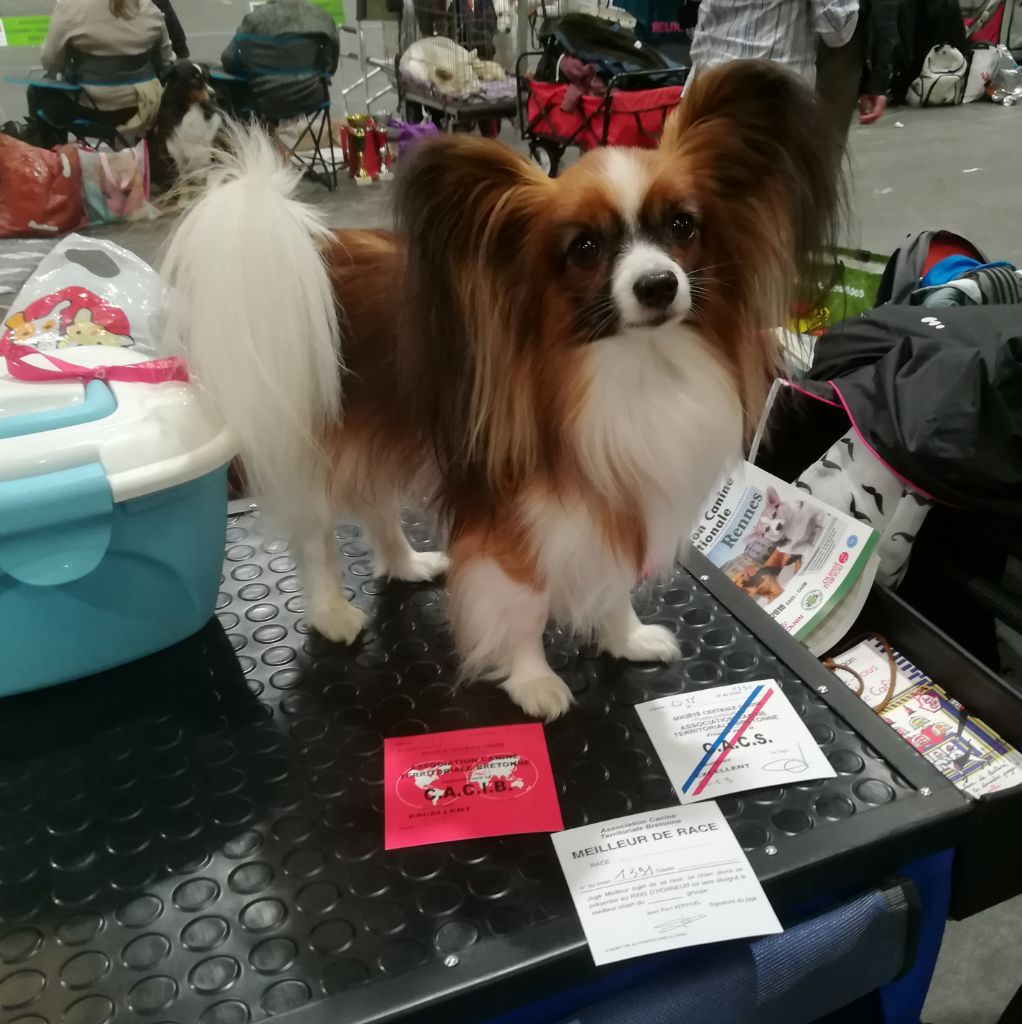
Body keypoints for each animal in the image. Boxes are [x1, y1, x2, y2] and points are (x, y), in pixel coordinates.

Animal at [149, 60, 225, 195]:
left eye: (207, 78)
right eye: (194, 79)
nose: (214, 94)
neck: (192, 109)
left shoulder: (209, 154)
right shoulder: (177, 159)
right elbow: (183, 186)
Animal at [160, 60, 842, 720]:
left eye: (682, 226)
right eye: (585, 248)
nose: (657, 284)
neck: (629, 366)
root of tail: (311, 255)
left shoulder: (621, 489)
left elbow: (613, 582)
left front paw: (625, 637)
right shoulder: (514, 517)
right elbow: (525, 604)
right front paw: (532, 680)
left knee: (377, 503)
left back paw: (406, 563)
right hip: (312, 444)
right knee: (316, 535)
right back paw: (333, 612)